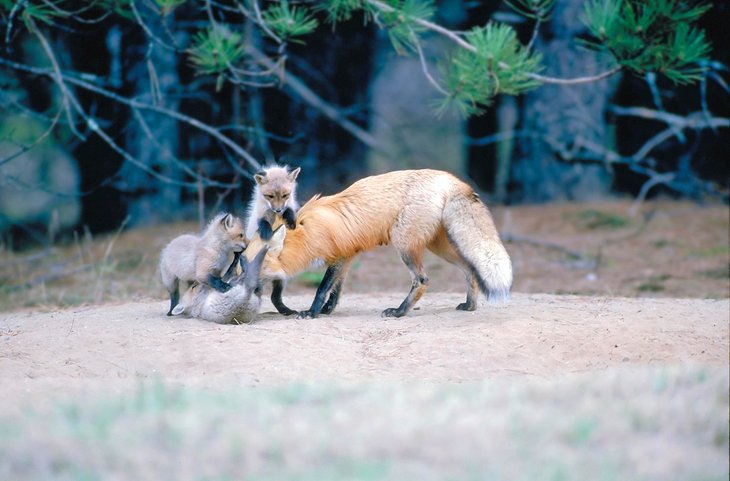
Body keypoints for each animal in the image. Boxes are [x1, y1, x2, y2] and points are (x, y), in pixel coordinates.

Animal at [250, 169, 512, 318]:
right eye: (242, 262)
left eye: (252, 264)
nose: (236, 283)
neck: (306, 232)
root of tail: (449, 179)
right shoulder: (347, 256)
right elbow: (336, 290)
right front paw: (327, 311)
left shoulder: (339, 256)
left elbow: (322, 289)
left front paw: (312, 313)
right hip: (438, 247)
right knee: (470, 269)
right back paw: (470, 306)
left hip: (404, 245)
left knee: (422, 280)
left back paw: (399, 312)